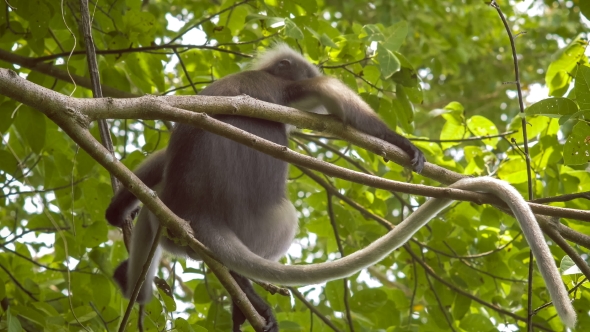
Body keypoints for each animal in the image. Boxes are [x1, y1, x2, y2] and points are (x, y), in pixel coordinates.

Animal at [106, 44, 580, 330]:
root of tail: (202, 214)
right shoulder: (296, 88)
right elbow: (340, 101)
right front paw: (403, 144)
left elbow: (169, 143)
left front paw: (117, 210)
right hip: (269, 225)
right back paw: (245, 295)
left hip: (170, 221)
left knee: (154, 215)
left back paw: (138, 281)